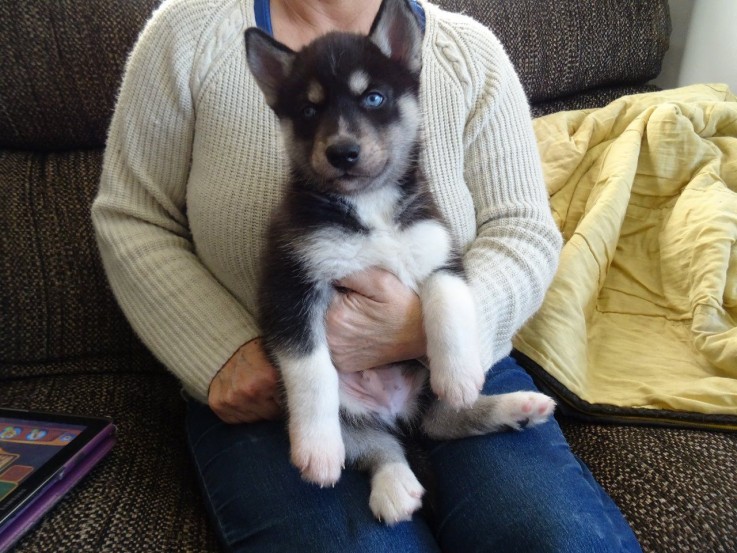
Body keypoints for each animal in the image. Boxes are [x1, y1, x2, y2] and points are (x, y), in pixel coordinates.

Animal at [246, 0, 552, 524]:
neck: (370, 205)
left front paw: (460, 372)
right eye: (308, 110)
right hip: (350, 412)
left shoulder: (440, 253)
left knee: (444, 419)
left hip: (424, 388)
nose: (342, 152)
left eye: (373, 97)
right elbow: (311, 370)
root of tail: (395, 408)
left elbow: (445, 301)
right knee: (377, 446)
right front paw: (317, 448)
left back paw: (516, 407)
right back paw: (393, 484)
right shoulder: (290, 283)